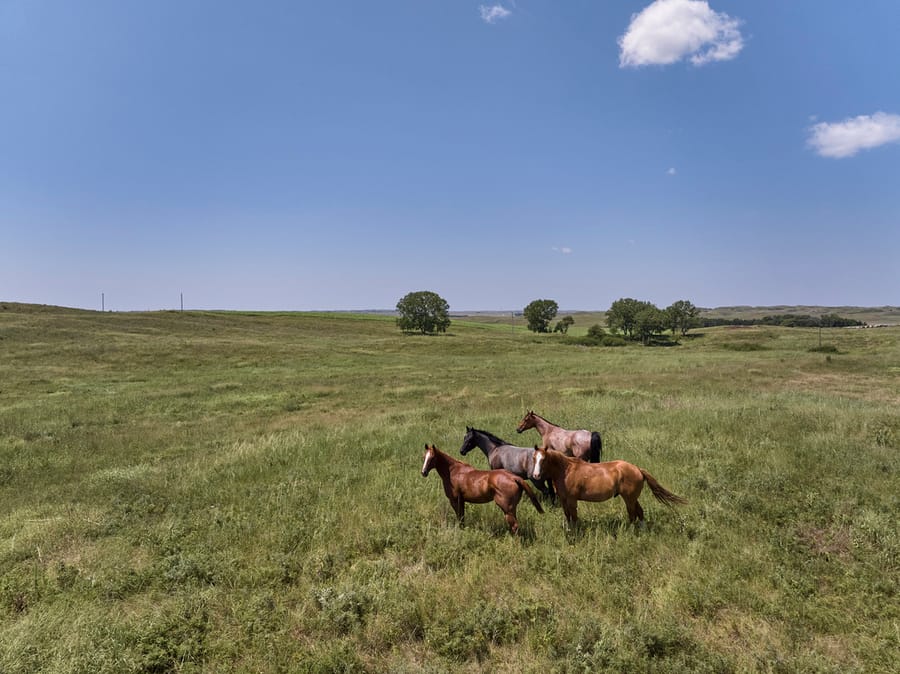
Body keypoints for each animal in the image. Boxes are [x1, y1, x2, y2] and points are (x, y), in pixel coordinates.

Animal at [532, 444, 684, 528]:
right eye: (534, 458)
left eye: (544, 459)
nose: (535, 475)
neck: (566, 471)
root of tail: (638, 469)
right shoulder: (563, 500)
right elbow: (568, 516)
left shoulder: (571, 500)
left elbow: (574, 517)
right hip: (633, 498)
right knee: (640, 513)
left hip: (629, 499)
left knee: (632, 515)